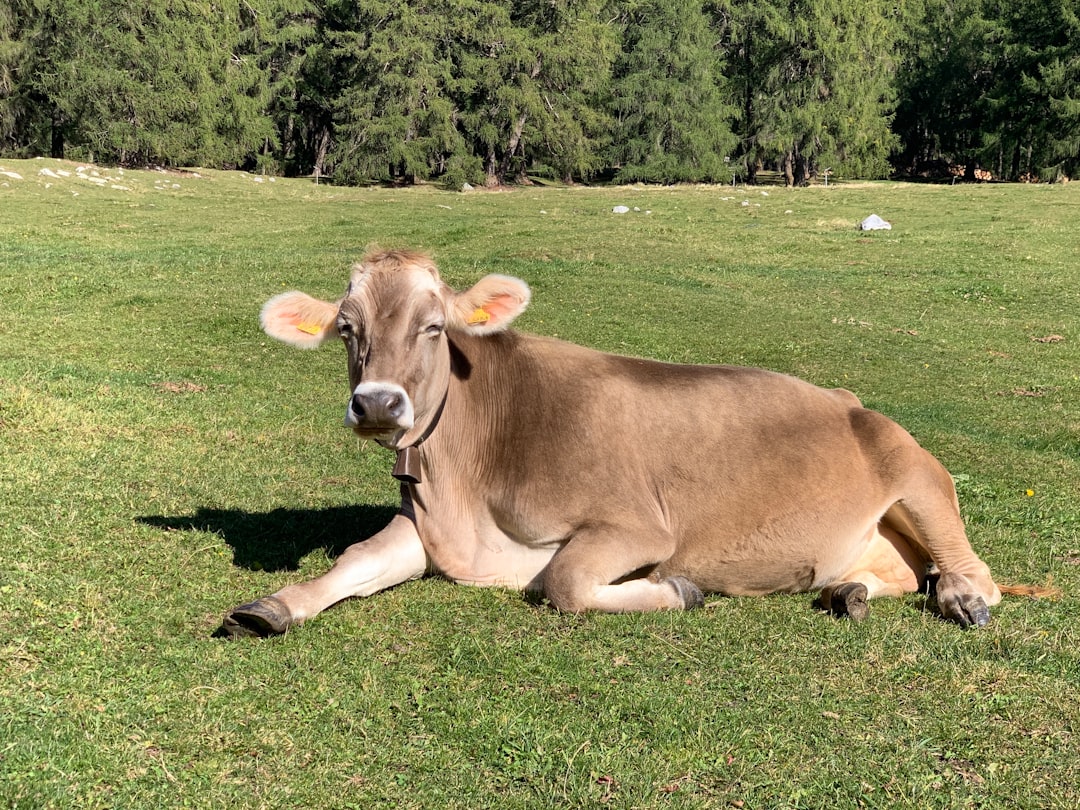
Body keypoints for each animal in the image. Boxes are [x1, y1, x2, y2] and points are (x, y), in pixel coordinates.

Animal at [223, 250, 1015, 639]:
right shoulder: (430, 529)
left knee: (969, 568)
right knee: (901, 574)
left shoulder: (636, 525)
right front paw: (274, 606)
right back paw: (848, 593)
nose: (378, 404)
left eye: (433, 326)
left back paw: (963, 601)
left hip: (914, 471)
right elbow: (356, 559)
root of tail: (851, 401)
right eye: (347, 328)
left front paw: (678, 590)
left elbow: (565, 584)